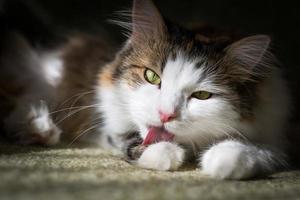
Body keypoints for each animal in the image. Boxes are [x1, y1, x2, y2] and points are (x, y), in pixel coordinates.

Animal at [0, 0, 290, 180]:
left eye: (202, 95)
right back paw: (40, 130)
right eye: (152, 76)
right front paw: (166, 154)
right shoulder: (109, 122)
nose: (165, 114)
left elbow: (256, 149)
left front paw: (224, 162)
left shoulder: (277, 128)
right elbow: (134, 142)